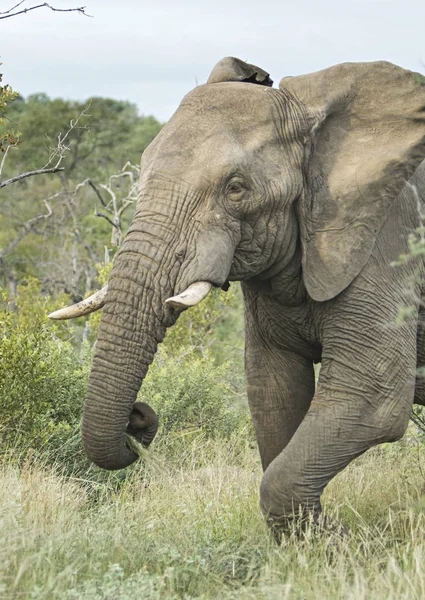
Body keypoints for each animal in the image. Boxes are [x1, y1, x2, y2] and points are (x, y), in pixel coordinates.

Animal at [49, 56, 424, 536]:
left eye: (236, 188)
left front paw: (345, 539)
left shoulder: (386, 235)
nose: (138, 417)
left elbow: (374, 397)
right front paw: (317, 539)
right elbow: (274, 392)